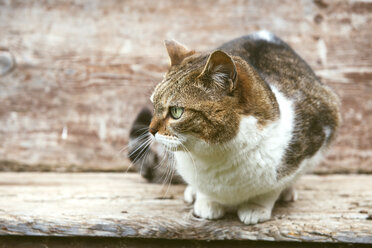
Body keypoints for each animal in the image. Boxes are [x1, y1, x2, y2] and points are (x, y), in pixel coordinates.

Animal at [128, 30, 340, 225]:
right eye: (154, 105)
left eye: (176, 111)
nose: (151, 130)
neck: (216, 156)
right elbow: (205, 191)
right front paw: (206, 202)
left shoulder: (316, 135)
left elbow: (271, 189)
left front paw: (256, 207)